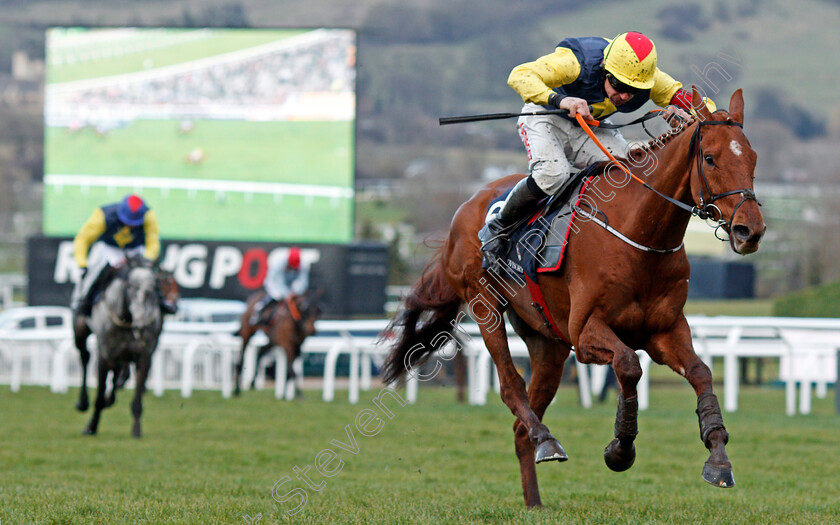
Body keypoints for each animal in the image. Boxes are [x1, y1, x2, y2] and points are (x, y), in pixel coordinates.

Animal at [81, 256, 162, 436]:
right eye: (130, 287)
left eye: (152, 290)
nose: (141, 325)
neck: (127, 321)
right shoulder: (105, 356)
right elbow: (99, 395)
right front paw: (91, 426)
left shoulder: (144, 356)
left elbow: (137, 399)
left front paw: (136, 430)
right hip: (81, 331)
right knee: (84, 357)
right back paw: (82, 402)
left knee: (119, 375)